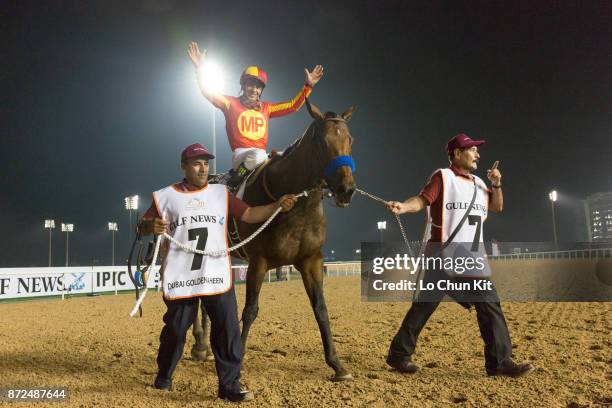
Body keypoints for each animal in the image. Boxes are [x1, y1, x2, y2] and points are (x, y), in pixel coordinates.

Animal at [191, 100, 356, 380]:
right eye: (322, 142)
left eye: (350, 139)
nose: (346, 189)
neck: (296, 206)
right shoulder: (259, 261)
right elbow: (250, 310)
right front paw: (238, 359)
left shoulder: (312, 260)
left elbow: (321, 309)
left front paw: (337, 364)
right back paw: (199, 344)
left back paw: (205, 347)